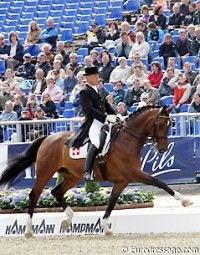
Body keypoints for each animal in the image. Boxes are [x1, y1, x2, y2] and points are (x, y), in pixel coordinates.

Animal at [0, 105, 193, 237]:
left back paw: (67, 219)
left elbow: (112, 202)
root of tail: (48, 138)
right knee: (35, 194)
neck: (127, 141)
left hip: (71, 175)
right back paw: (28, 230)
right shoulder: (134, 174)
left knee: (56, 192)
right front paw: (184, 201)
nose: (162, 149)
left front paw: (106, 228)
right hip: (45, 171)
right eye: (159, 124)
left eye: (170, 124)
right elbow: (159, 182)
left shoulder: (122, 181)